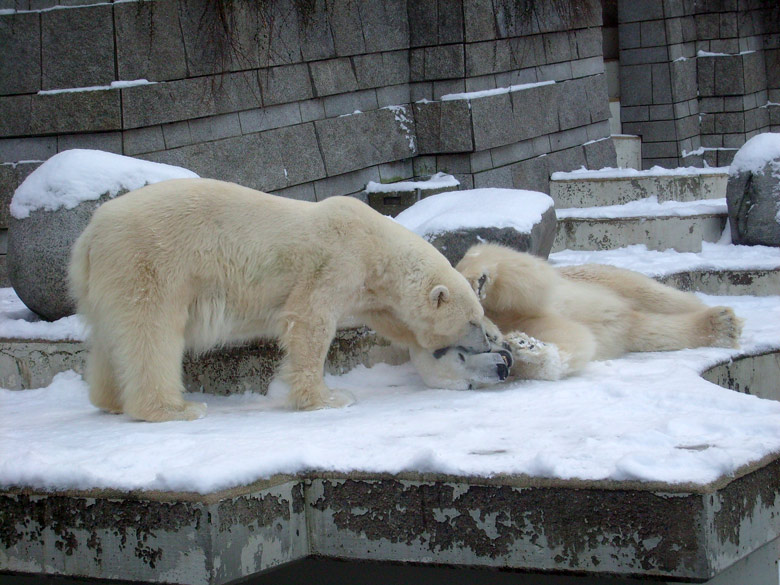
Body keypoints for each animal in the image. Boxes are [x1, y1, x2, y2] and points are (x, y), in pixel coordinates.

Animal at [68, 178, 506, 420]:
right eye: (468, 321)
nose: (486, 345)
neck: (376, 245)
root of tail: (89, 236)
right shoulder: (336, 261)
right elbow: (310, 321)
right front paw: (328, 398)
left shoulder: (370, 291)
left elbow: (393, 320)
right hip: (150, 264)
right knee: (152, 333)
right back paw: (173, 409)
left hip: (110, 280)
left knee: (112, 338)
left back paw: (110, 400)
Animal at [412, 242, 740, 384]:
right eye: (469, 383)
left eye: (459, 353)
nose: (501, 368)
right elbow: (574, 340)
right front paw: (526, 346)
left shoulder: (516, 300)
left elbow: (528, 278)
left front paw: (476, 281)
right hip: (630, 329)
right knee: (652, 331)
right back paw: (720, 326)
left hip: (602, 277)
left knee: (659, 296)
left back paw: (723, 318)